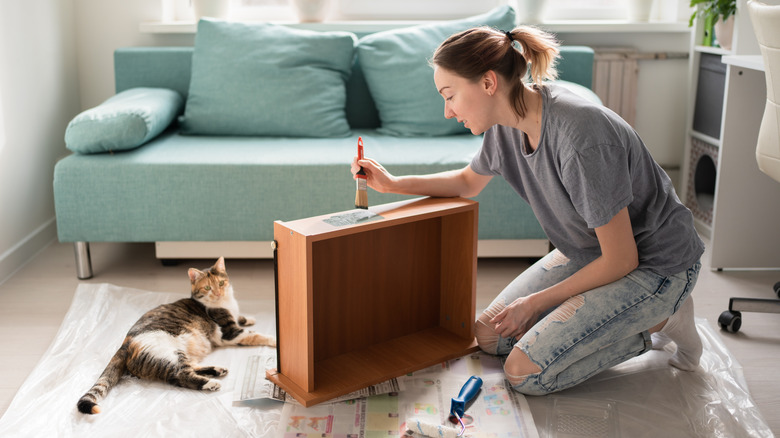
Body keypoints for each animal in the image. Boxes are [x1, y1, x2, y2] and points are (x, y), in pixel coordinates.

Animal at [78, 256, 274, 414]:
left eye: (221, 283)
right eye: (208, 287)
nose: (218, 292)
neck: (226, 302)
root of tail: (125, 343)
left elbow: (242, 318)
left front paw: (249, 318)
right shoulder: (230, 332)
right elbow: (257, 335)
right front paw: (273, 339)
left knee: (189, 368)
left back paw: (217, 370)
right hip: (169, 352)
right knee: (181, 376)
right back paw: (211, 383)